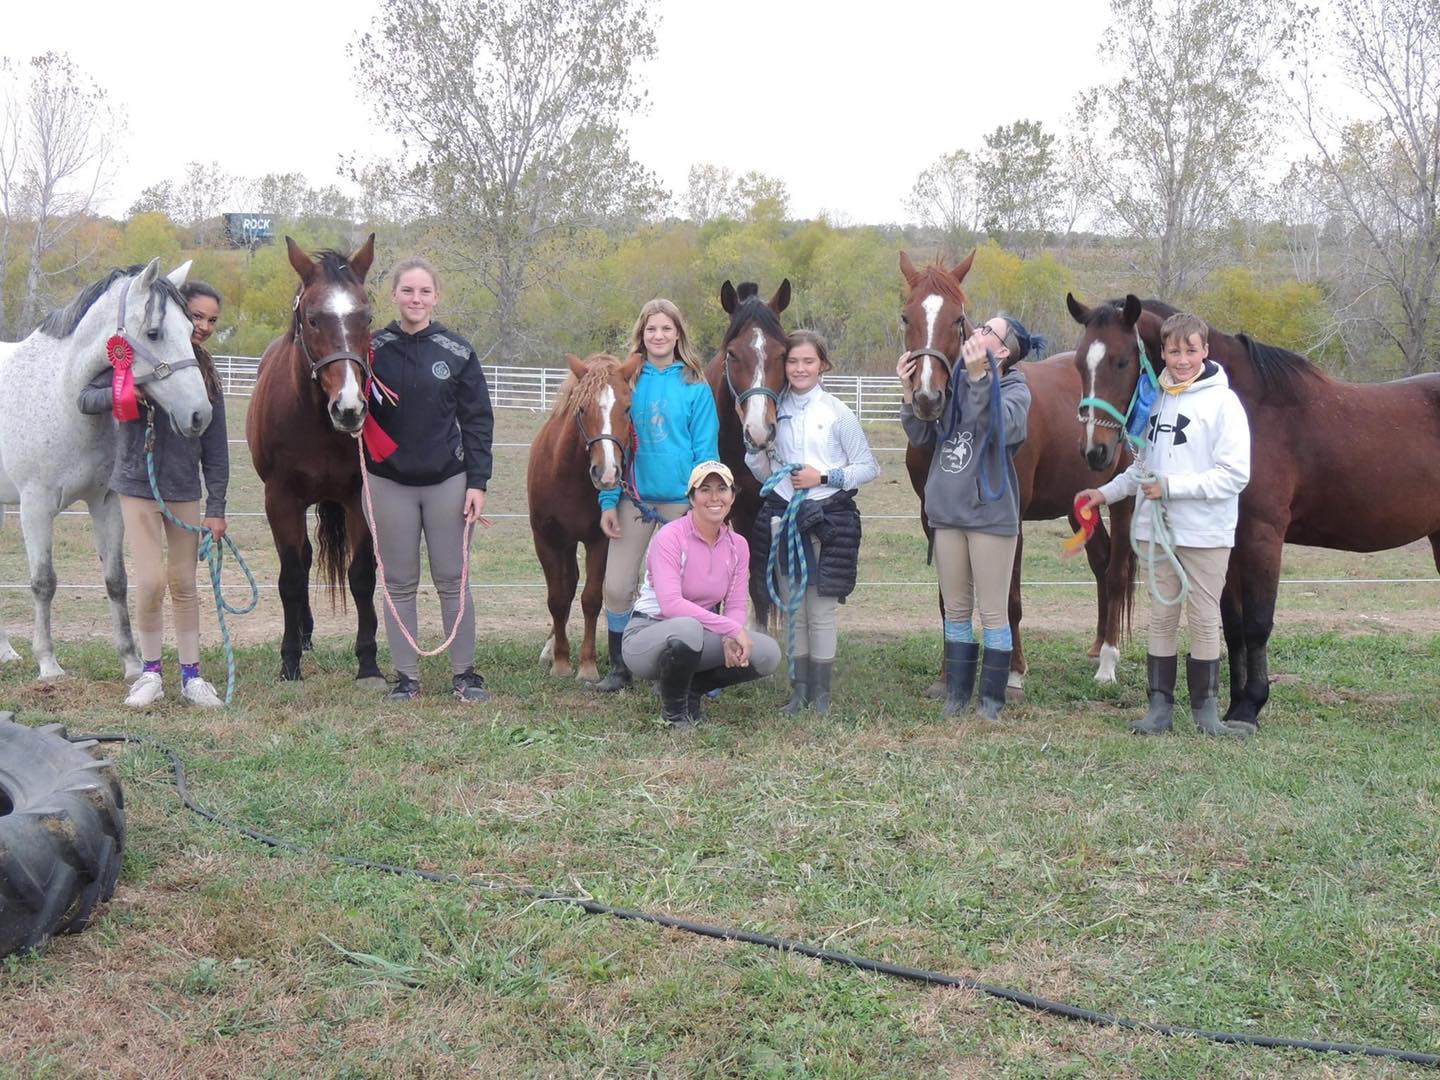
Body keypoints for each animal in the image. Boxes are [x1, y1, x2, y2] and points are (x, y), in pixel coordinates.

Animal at [244, 236, 385, 685]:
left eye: (366, 316)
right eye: (312, 319)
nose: (349, 408)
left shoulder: (358, 497)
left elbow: (361, 576)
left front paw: (368, 661)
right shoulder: (280, 500)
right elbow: (291, 577)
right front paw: (289, 660)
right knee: (302, 561)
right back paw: (302, 636)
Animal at [529, 351, 642, 679]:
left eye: (628, 407)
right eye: (581, 408)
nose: (607, 473)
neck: (569, 478)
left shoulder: (600, 541)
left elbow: (591, 599)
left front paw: (588, 666)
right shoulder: (547, 541)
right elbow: (558, 598)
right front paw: (561, 661)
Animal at [898, 249, 1134, 696]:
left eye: (957, 318)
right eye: (906, 316)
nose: (926, 397)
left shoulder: (1011, 520)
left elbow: (1009, 598)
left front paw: (1013, 672)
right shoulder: (930, 518)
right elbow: (948, 598)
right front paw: (946, 676)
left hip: (1124, 500)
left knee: (1116, 572)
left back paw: (1109, 661)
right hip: (1080, 501)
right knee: (1100, 561)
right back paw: (1096, 647)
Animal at [1065, 293, 1440, 737]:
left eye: (1121, 361)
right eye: (1079, 364)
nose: (1094, 452)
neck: (1251, 411)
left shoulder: (1263, 537)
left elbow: (1259, 624)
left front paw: (1251, 706)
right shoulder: (1233, 543)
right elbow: (1233, 626)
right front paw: (1234, 706)